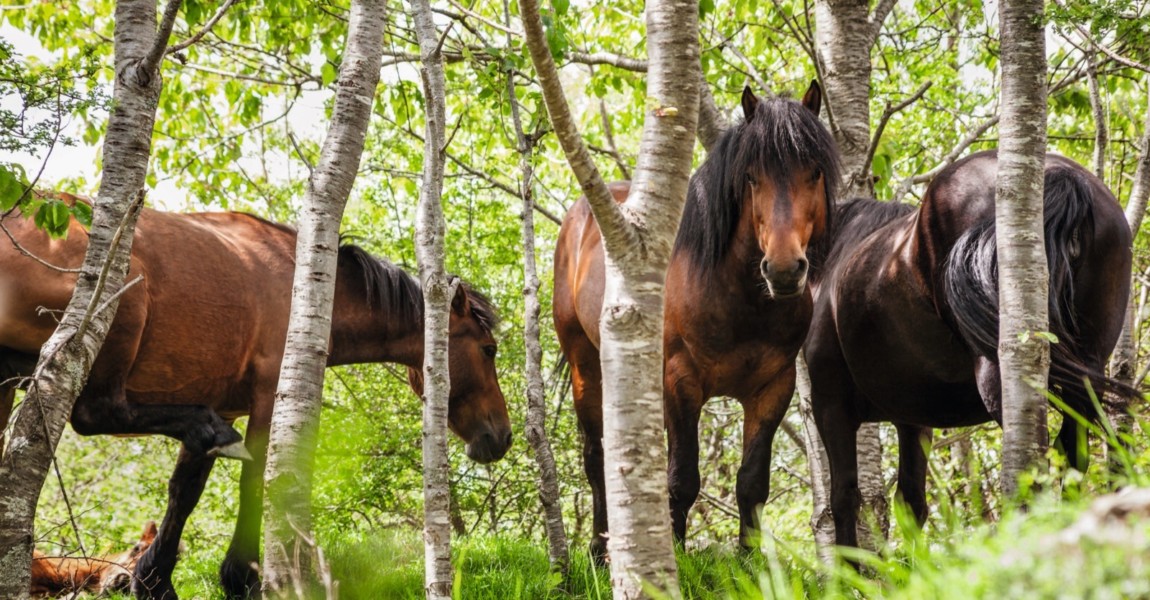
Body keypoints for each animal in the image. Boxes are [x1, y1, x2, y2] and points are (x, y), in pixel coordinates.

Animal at [552, 80, 841, 556]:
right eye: (751, 176)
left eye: (814, 172)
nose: (783, 270)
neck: (740, 301)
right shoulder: (680, 381)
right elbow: (683, 480)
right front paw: (676, 558)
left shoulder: (773, 388)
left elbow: (751, 482)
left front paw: (750, 562)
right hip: (583, 363)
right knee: (596, 457)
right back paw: (598, 550)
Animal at [805, 149, 1136, 547]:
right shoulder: (912, 419)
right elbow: (910, 504)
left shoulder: (831, 406)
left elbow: (843, 498)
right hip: (1086, 375)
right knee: (1078, 456)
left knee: (1034, 467)